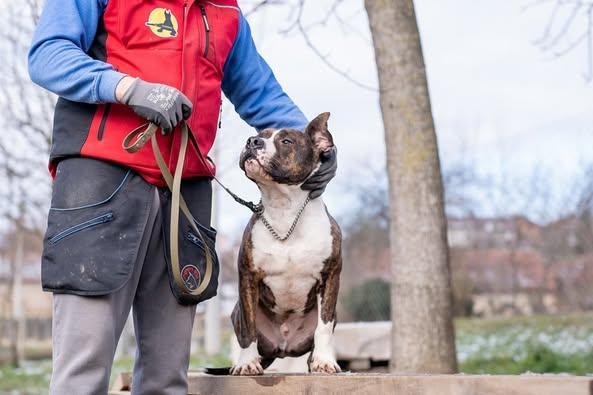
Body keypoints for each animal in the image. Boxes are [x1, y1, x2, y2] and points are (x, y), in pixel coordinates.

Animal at [231, 113, 342, 376]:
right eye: (260, 135)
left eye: (287, 141)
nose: (253, 141)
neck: (285, 209)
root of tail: (283, 347)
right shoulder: (248, 277)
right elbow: (248, 327)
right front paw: (246, 363)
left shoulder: (330, 276)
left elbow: (324, 327)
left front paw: (324, 361)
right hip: (236, 311)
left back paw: (314, 361)